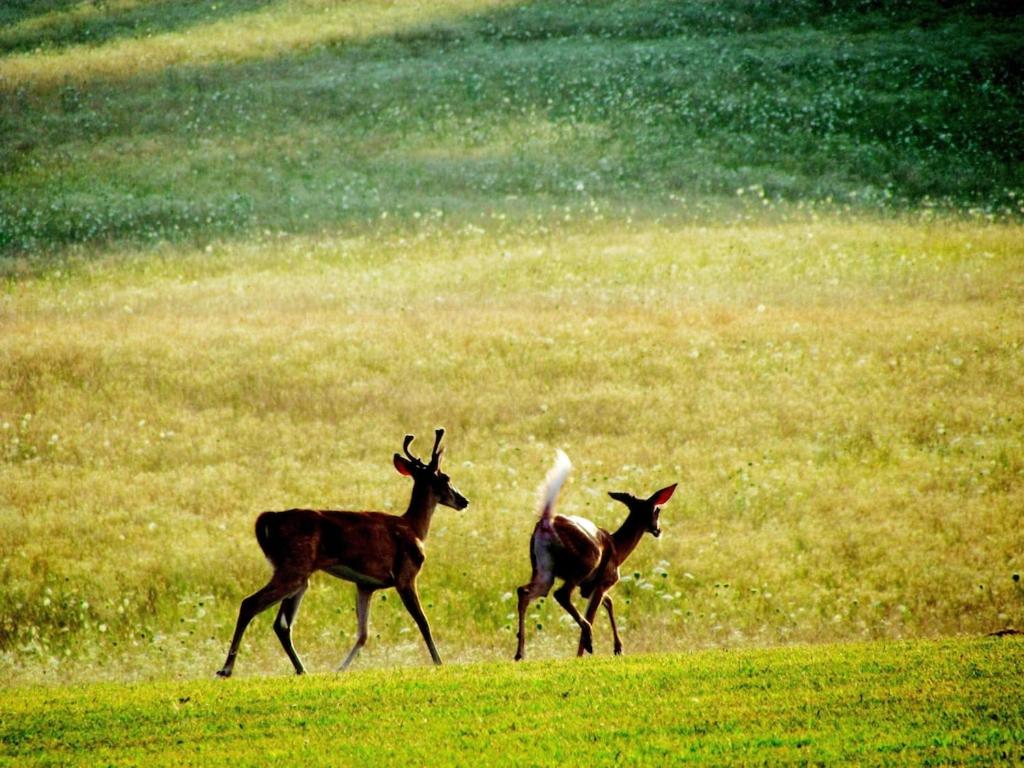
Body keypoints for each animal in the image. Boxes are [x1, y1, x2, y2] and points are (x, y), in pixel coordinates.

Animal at [216, 428, 468, 678]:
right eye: (445, 478)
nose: (464, 500)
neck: (414, 528)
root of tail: (269, 519)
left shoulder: (366, 584)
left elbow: (363, 633)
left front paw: (340, 669)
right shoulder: (405, 574)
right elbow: (423, 622)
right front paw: (438, 662)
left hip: (297, 574)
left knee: (281, 624)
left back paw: (302, 670)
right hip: (294, 567)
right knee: (250, 604)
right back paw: (226, 669)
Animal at [514, 450, 676, 661]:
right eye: (657, 510)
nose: (658, 530)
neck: (618, 547)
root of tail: (546, 522)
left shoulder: (591, 588)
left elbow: (609, 602)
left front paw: (618, 648)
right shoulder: (603, 582)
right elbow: (598, 609)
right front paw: (587, 653)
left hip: (543, 568)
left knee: (524, 591)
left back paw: (520, 653)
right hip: (585, 561)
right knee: (561, 594)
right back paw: (588, 641)